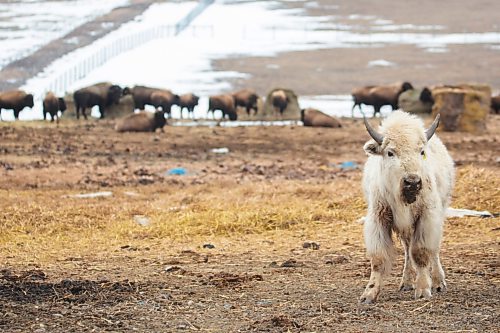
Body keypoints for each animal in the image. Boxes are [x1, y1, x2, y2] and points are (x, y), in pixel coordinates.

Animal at [362, 110, 456, 302]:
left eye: (421, 152)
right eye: (390, 152)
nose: (412, 182)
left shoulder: (427, 217)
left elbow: (421, 252)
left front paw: (423, 289)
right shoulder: (378, 218)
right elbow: (378, 258)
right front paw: (369, 294)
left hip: (439, 214)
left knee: (434, 250)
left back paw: (438, 282)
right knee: (407, 249)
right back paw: (406, 282)